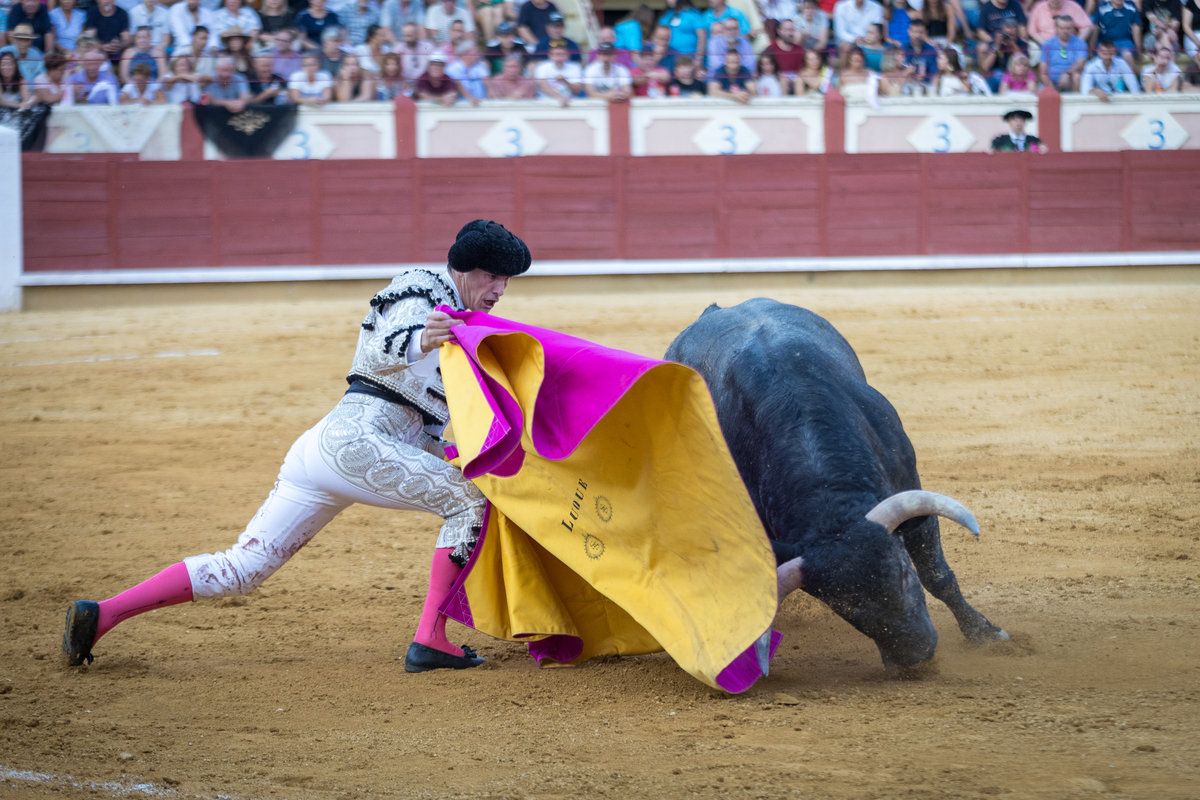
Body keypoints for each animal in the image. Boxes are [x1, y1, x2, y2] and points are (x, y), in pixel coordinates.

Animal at [667, 297, 1012, 671]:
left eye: (904, 574)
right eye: (845, 609)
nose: (916, 656)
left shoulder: (910, 489)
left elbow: (937, 575)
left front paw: (985, 634)